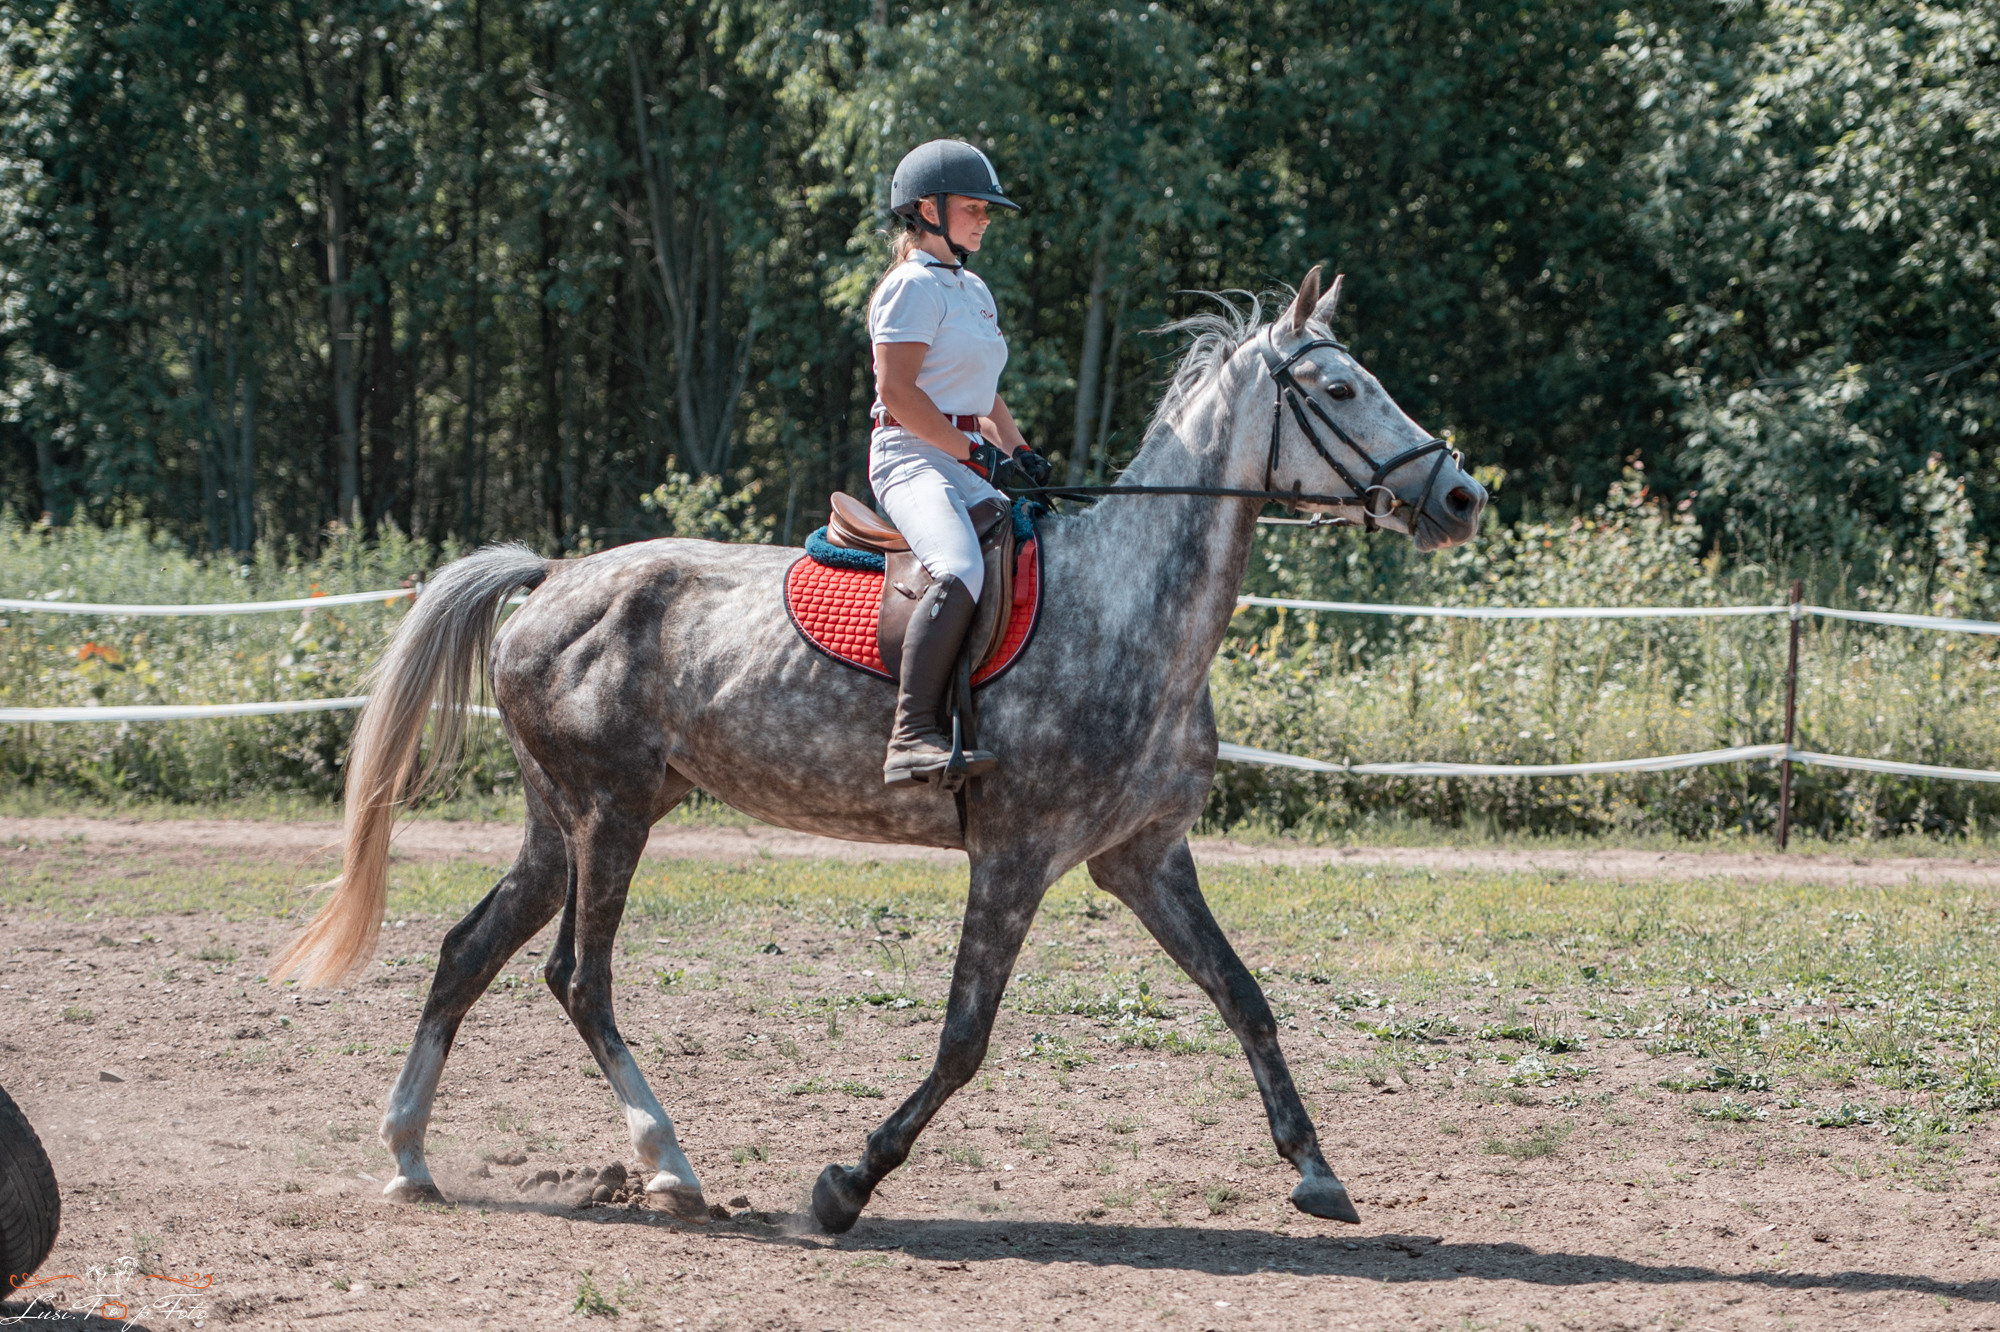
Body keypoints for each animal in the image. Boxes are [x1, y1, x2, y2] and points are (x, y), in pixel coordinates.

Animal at [269, 267, 1488, 1233]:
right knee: (580, 977)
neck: (1133, 613)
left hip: (565, 819)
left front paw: (1316, 1173)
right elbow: (962, 1041)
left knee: (468, 951)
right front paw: (845, 1184)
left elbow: (1245, 997)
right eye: (1339, 390)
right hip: (606, 815)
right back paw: (669, 1169)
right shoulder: (1014, 855)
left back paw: (411, 1158)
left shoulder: (1142, 858)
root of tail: (552, 579)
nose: (1460, 495)